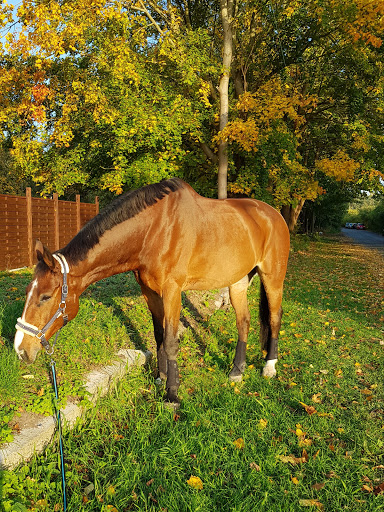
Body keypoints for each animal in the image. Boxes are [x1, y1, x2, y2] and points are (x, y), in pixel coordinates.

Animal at [13, 179, 290, 404]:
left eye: (45, 296)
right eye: (28, 291)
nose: (20, 350)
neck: (154, 230)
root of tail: (273, 214)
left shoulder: (173, 292)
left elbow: (171, 341)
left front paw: (172, 394)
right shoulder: (149, 291)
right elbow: (159, 336)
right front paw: (160, 378)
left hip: (273, 279)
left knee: (275, 317)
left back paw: (269, 367)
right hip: (238, 282)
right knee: (243, 321)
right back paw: (236, 371)